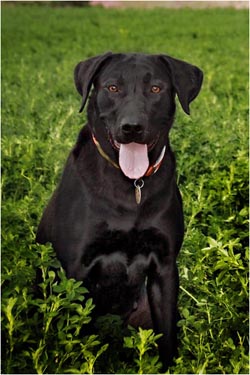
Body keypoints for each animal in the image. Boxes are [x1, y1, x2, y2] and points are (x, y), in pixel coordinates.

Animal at [36, 52, 202, 370]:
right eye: (112, 88)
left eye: (156, 89)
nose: (132, 127)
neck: (131, 184)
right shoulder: (76, 270)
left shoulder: (164, 267)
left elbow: (167, 336)